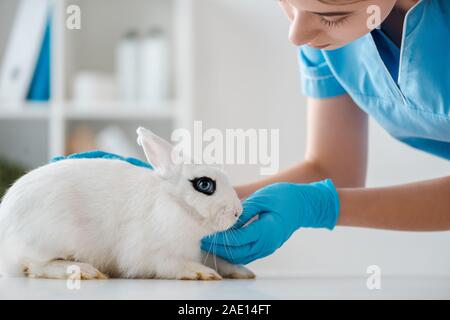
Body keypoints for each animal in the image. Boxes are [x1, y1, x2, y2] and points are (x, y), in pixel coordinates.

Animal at [0, 127, 253, 280]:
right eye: (205, 184)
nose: (237, 211)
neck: (176, 204)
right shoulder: (151, 254)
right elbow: (172, 265)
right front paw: (202, 273)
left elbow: (220, 261)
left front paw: (242, 271)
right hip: (50, 237)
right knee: (32, 266)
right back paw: (85, 271)